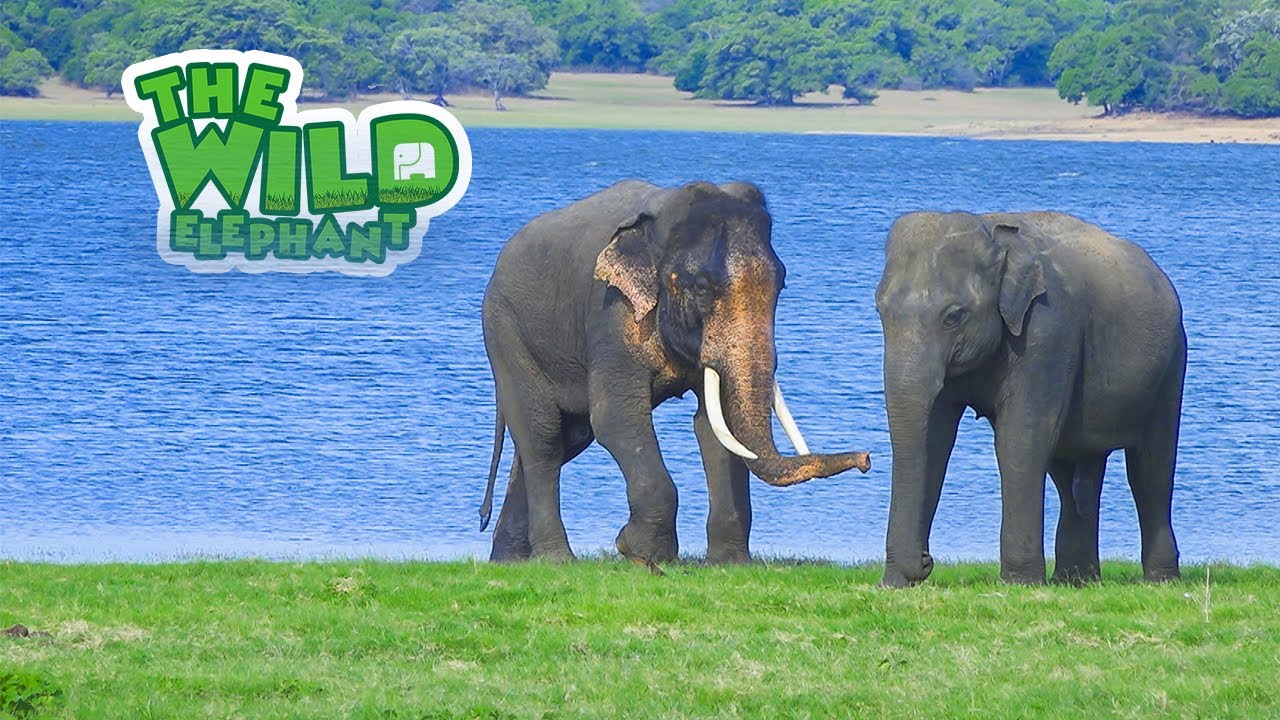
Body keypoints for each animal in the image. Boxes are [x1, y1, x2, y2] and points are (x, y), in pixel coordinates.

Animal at [478, 179, 872, 565]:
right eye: (702, 288)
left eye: (782, 285)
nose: (867, 459)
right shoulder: (610, 311)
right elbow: (616, 417)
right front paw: (640, 554)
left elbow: (715, 426)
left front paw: (729, 563)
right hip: (505, 330)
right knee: (542, 438)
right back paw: (556, 560)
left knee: (565, 437)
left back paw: (509, 560)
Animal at [875, 210, 1185, 587]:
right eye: (880, 311)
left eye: (954, 316)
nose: (925, 560)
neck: (990, 230)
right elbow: (935, 441)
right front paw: (894, 585)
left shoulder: (1047, 331)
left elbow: (1021, 440)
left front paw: (1019, 583)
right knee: (1074, 477)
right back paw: (1076, 581)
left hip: (1171, 366)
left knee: (1150, 471)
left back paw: (1160, 580)